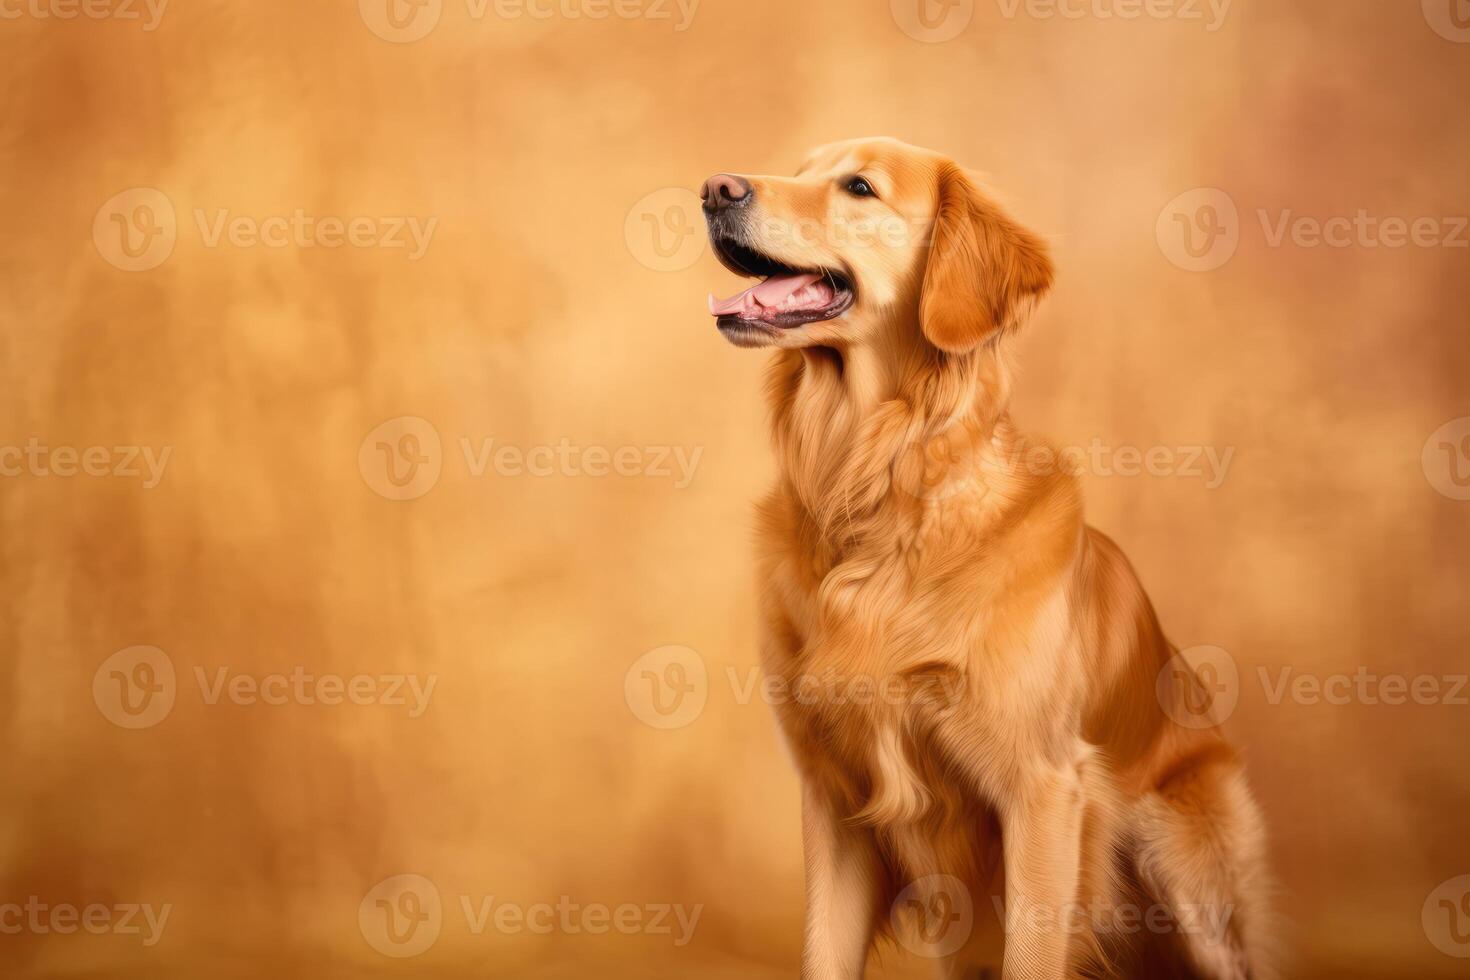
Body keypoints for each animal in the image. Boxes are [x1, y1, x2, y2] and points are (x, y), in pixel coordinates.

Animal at [696, 139, 1264, 980]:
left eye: (859, 186)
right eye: (798, 169)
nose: (713, 190)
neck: (879, 487)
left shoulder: (1043, 789)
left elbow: (1034, 950)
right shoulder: (833, 799)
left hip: (1184, 858)